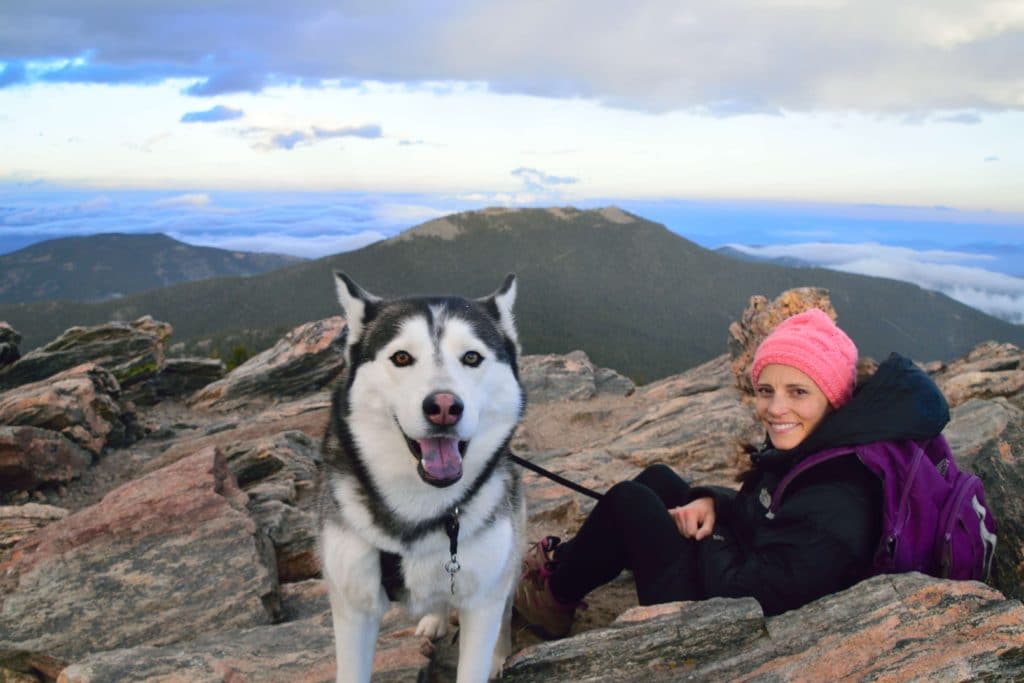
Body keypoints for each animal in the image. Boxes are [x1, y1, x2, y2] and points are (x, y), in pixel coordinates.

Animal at [317, 272, 528, 683]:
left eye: (472, 357)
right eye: (402, 357)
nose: (443, 407)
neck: (420, 509)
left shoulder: (483, 598)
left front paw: (491, 657)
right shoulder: (353, 604)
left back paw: (498, 654)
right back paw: (434, 618)